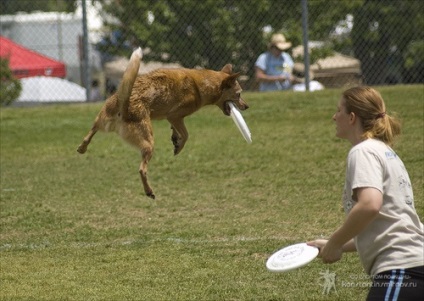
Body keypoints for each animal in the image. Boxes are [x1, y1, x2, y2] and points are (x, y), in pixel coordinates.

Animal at [76, 48, 248, 198]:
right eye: (239, 94)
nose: (247, 106)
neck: (200, 84)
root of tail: (123, 104)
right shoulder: (175, 116)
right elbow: (186, 135)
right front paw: (178, 147)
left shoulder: (174, 119)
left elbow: (178, 132)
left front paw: (175, 139)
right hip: (148, 142)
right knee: (142, 169)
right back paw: (149, 191)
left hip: (102, 121)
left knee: (90, 132)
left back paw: (82, 148)